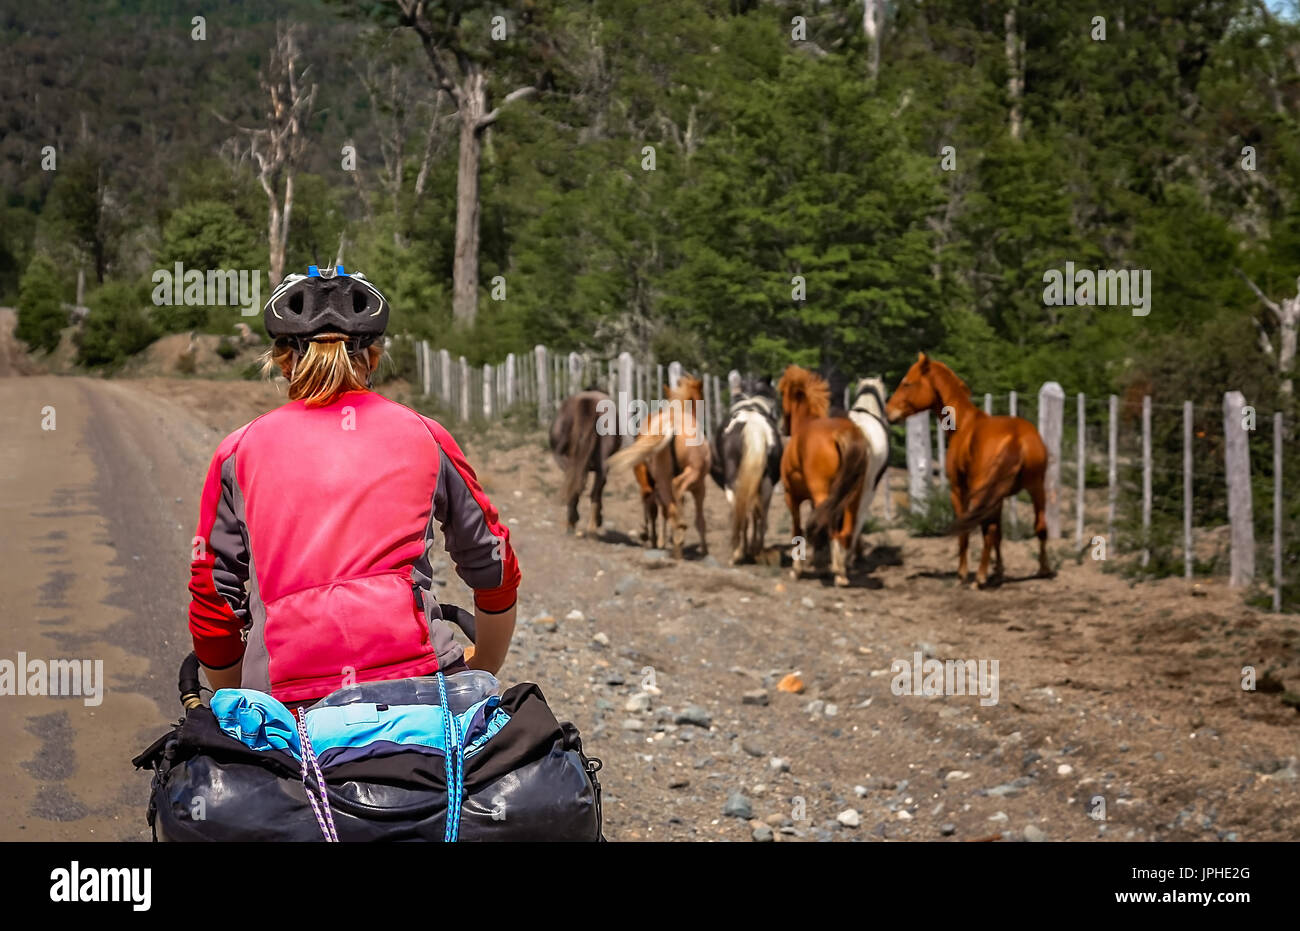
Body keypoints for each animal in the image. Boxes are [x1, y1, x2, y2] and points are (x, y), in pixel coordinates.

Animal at [548, 390, 618, 538]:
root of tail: (588, 400)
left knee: (579, 487)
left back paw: (576, 523)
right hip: (598, 467)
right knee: (591, 491)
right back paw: (590, 526)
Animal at [605, 371, 712, 559]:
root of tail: (671, 425)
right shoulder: (700, 486)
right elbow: (700, 520)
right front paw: (704, 550)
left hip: (659, 480)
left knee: (657, 504)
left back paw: (661, 538)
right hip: (689, 477)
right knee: (675, 491)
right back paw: (678, 532)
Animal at [712, 374, 780, 564]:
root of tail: (753, 426)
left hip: (734, 483)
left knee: (744, 512)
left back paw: (740, 552)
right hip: (766, 484)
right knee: (758, 514)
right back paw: (752, 550)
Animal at [774, 361, 868, 582]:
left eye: (781, 392)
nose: (782, 427)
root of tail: (841, 434)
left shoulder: (792, 496)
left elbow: (797, 529)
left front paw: (797, 568)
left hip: (822, 493)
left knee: (830, 526)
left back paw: (838, 572)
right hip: (853, 496)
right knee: (846, 530)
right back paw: (841, 568)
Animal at [883, 353, 1055, 585]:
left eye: (907, 383)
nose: (888, 412)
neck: (963, 425)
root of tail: (1016, 438)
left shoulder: (959, 490)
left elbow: (965, 531)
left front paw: (962, 573)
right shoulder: (997, 497)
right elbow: (998, 533)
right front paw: (999, 570)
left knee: (986, 530)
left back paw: (979, 577)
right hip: (1036, 488)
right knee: (1039, 526)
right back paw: (1043, 569)